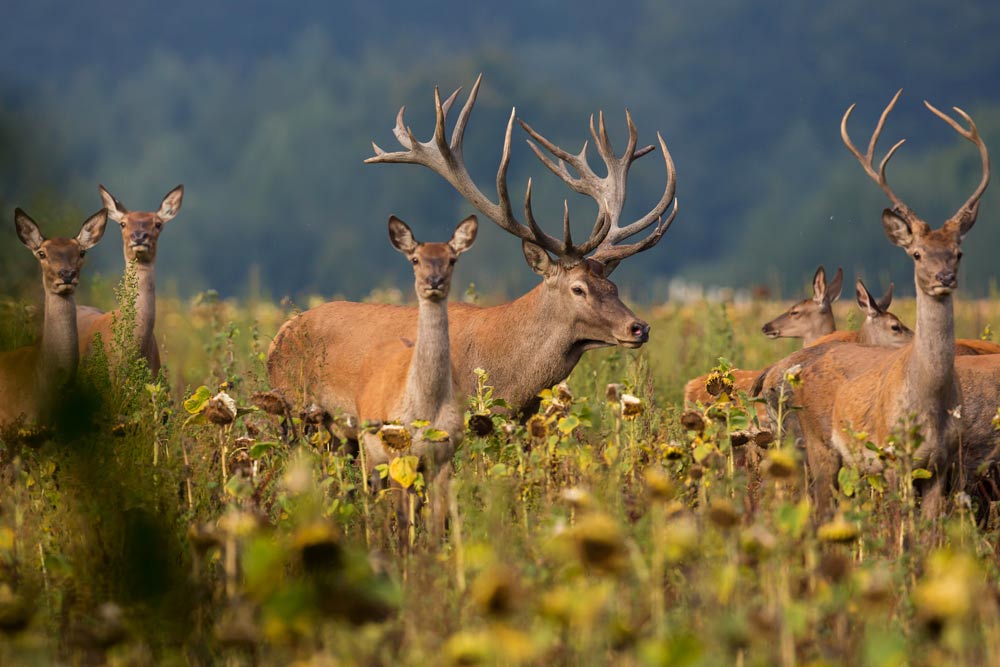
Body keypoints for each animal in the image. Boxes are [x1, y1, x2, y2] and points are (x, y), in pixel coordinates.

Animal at [267, 75, 677, 441]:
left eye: (613, 285)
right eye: (578, 288)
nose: (639, 327)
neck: (509, 379)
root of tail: (280, 337)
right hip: (295, 410)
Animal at [356, 215, 477, 539]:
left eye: (452, 259)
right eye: (415, 259)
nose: (433, 281)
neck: (427, 410)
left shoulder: (443, 457)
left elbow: (435, 524)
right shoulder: (398, 454)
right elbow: (402, 522)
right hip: (370, 452)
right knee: (376, 506)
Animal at [754, 91, 990, 516]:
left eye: (959, 252)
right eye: (916, 253)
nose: (944, 278)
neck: (928, 401)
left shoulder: (942, 465)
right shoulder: (893, 458)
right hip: (818, 445)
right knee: (816, 505)